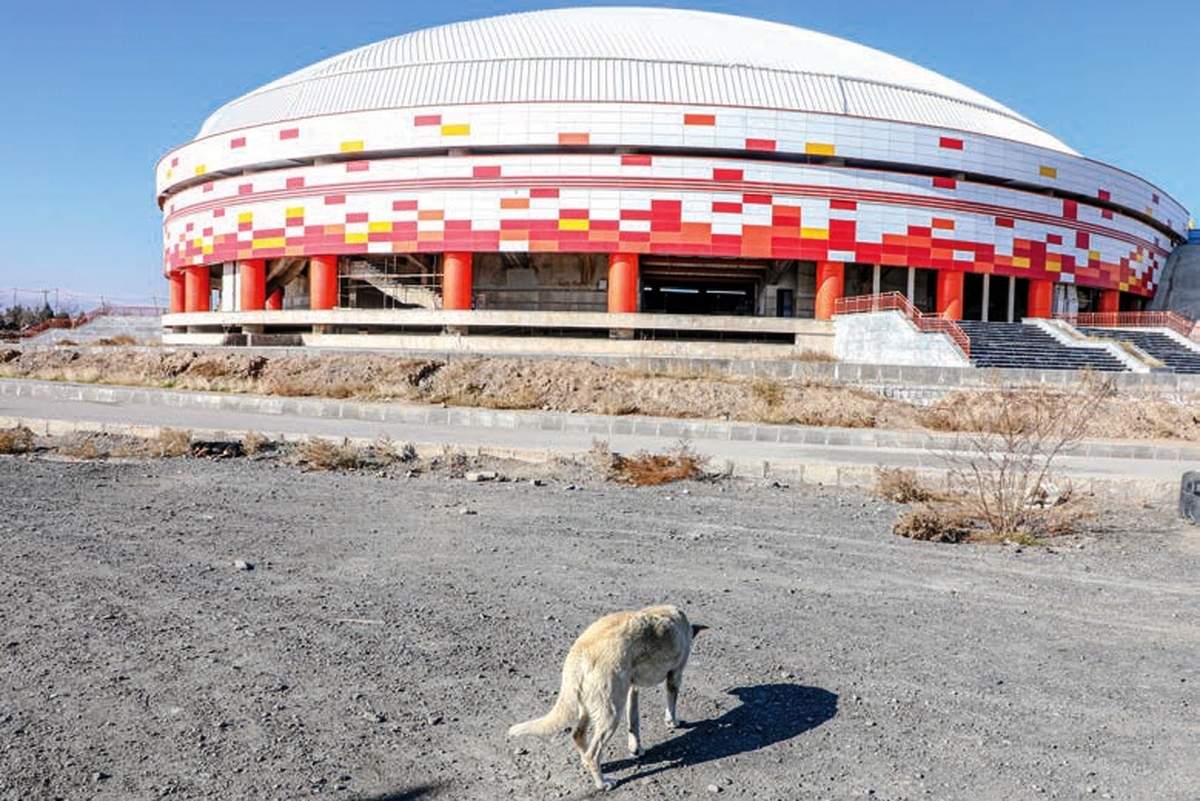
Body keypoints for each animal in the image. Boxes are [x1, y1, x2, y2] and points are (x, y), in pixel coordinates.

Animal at [506, 606, 700, 786]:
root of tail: (579, 652)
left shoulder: (632, 690)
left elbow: (634, 722)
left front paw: (636, 749)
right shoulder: (675, 675)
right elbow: (671, 705)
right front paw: (673, 722)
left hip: (591, 704)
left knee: (578, 735)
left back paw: (586, 761)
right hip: (611, 713)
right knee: (593, 753)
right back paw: (602, 782)